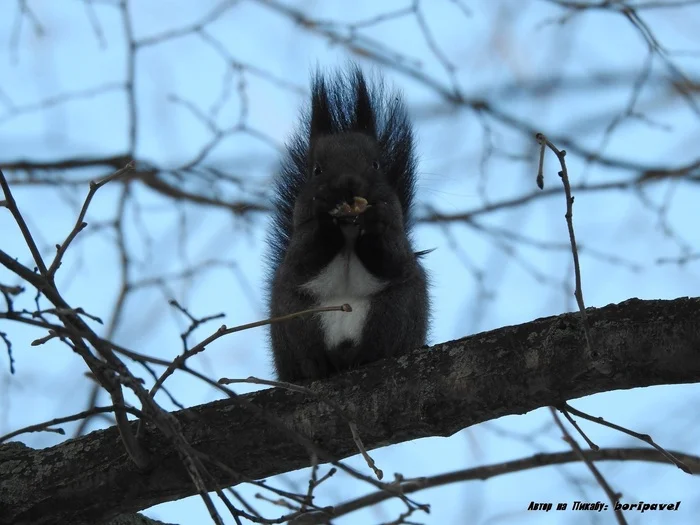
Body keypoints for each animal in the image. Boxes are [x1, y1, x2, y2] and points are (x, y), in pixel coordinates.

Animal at [265, 66, 429, 382]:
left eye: (376, 165)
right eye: (316, 170)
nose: (348, 182)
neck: (350, 229)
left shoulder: (398, 242)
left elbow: (391, 259)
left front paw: (375, 224)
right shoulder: (297, 247)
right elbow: (305, 259)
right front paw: (324, 221)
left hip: (395, 312)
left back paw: (366, 359)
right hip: (296, 320)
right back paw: (317, 367)